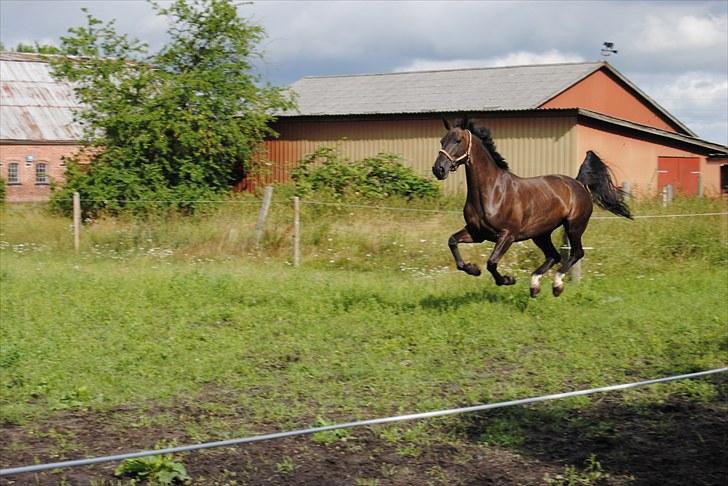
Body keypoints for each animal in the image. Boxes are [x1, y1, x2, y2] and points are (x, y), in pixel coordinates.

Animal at [432, 117, 632, 296]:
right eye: (442, 140)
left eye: (458, 140)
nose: (438, 169)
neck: (493, 192)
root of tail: (579, 183)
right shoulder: (477, 233)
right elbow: (452, 242)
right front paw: (473, 269)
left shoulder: (507, 235)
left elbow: (492, 262)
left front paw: (508, 279)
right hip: (541, 234)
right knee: (554, 256)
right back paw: (534, 286)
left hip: (574, 226)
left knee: (576, 253)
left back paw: (557, 286)